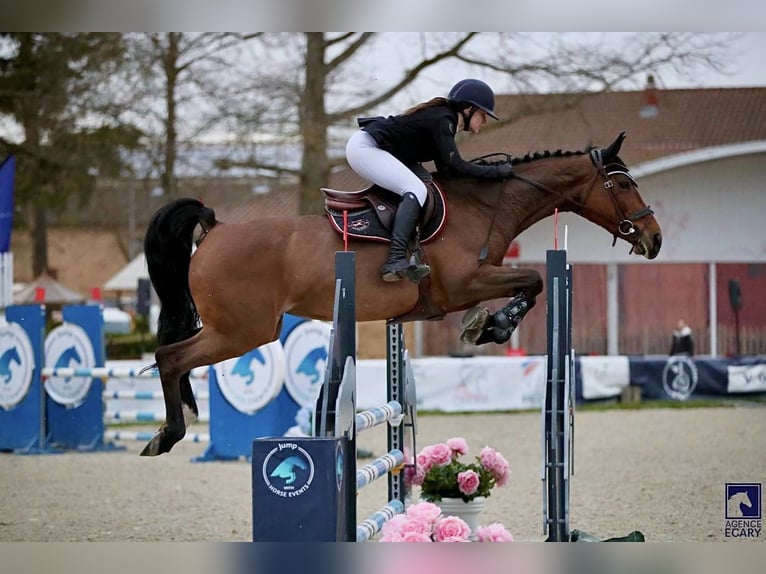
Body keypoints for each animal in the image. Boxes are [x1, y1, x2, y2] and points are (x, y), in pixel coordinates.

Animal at [141, 132, 662, 456]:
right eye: (622, 183)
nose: (654, 239)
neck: (482, 206)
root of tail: (215, 228)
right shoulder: (465, 284)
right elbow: (531, 281)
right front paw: (490, 327)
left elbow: (529, 285)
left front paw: (487, 325)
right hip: (242, 330)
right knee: (170, 357)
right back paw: (169, 433)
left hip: (240, 329)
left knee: (173, 356)